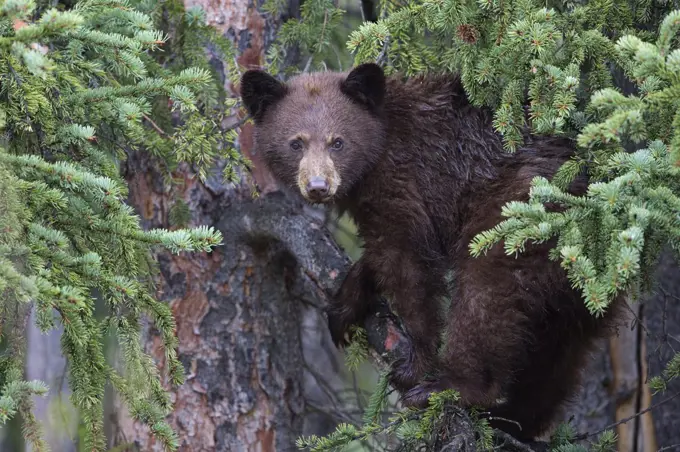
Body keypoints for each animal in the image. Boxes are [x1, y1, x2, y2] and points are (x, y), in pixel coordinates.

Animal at [239, 61, 620, 440]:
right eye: (296, 143)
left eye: (337, 142)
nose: (318, 186)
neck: (380, 145)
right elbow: (381, 256)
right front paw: (347, 301)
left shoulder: (403, 182)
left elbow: (407, 263)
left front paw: (416, 361)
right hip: (578, 290)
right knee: (559, 352)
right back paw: (515, 420)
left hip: (517, 216)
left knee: (486, 297)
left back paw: (454, 387)